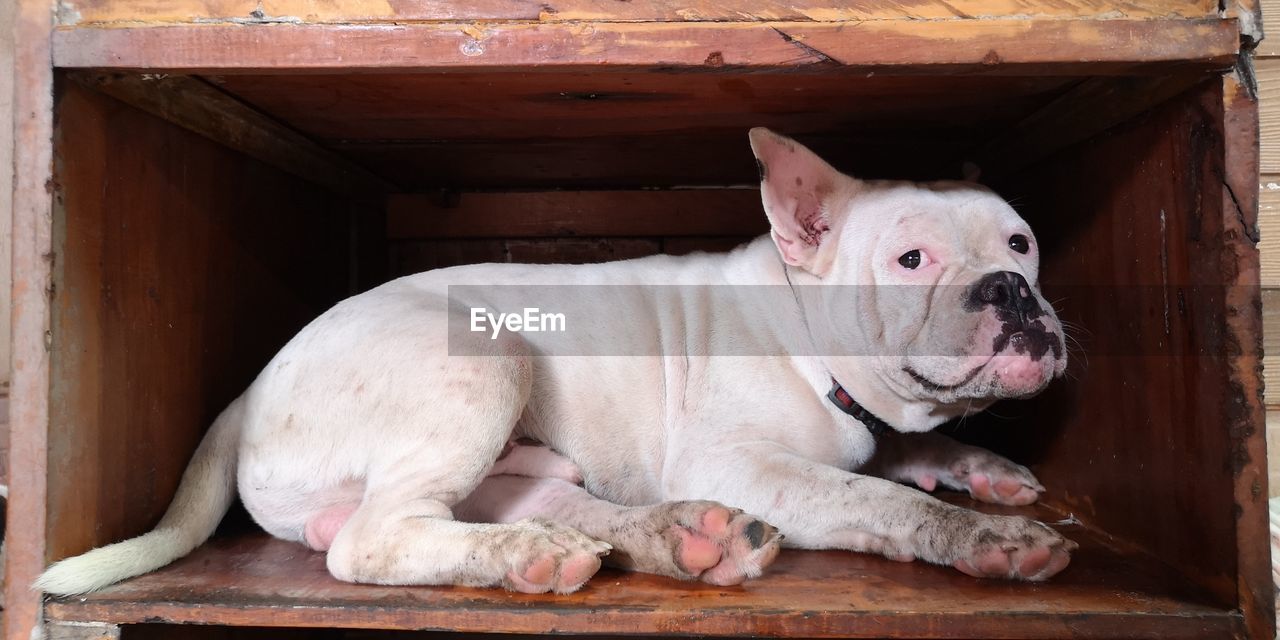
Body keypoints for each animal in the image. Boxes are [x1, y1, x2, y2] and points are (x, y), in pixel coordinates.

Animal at [40, 128, 1075, 593]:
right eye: (911, 261)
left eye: (1022, 244)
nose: (1011, 291)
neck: (803, 326)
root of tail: (252, 386)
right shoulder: (745, 459)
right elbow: (876, 497)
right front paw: (982, 537)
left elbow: (907, 451)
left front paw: (983, 469)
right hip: (481, 361)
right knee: (370, 541)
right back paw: (538, 556)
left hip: (518, 457)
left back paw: (676, 535)